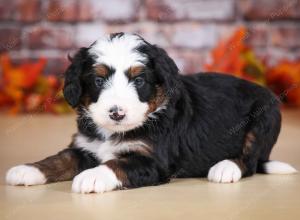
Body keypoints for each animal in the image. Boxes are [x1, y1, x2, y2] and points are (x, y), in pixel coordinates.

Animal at [5, 32, 296, 192]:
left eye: (139, 81)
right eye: (98, 80)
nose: (116, 113)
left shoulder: (154, 161)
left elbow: (118, 163)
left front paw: (91, 176)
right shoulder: (85, 146)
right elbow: (61, 158)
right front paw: (27, 170)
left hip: (264, 119)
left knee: (250, 160)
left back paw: (226, 168)